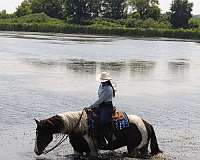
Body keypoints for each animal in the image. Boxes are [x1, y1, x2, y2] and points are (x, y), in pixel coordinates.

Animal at [34, 109, 162, 158]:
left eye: (40, 133)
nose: (36, 151)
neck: (78, 127)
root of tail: (147, 123)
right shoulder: (77, 150)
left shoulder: (92, 151)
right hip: (143, 148)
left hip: (133, 148)